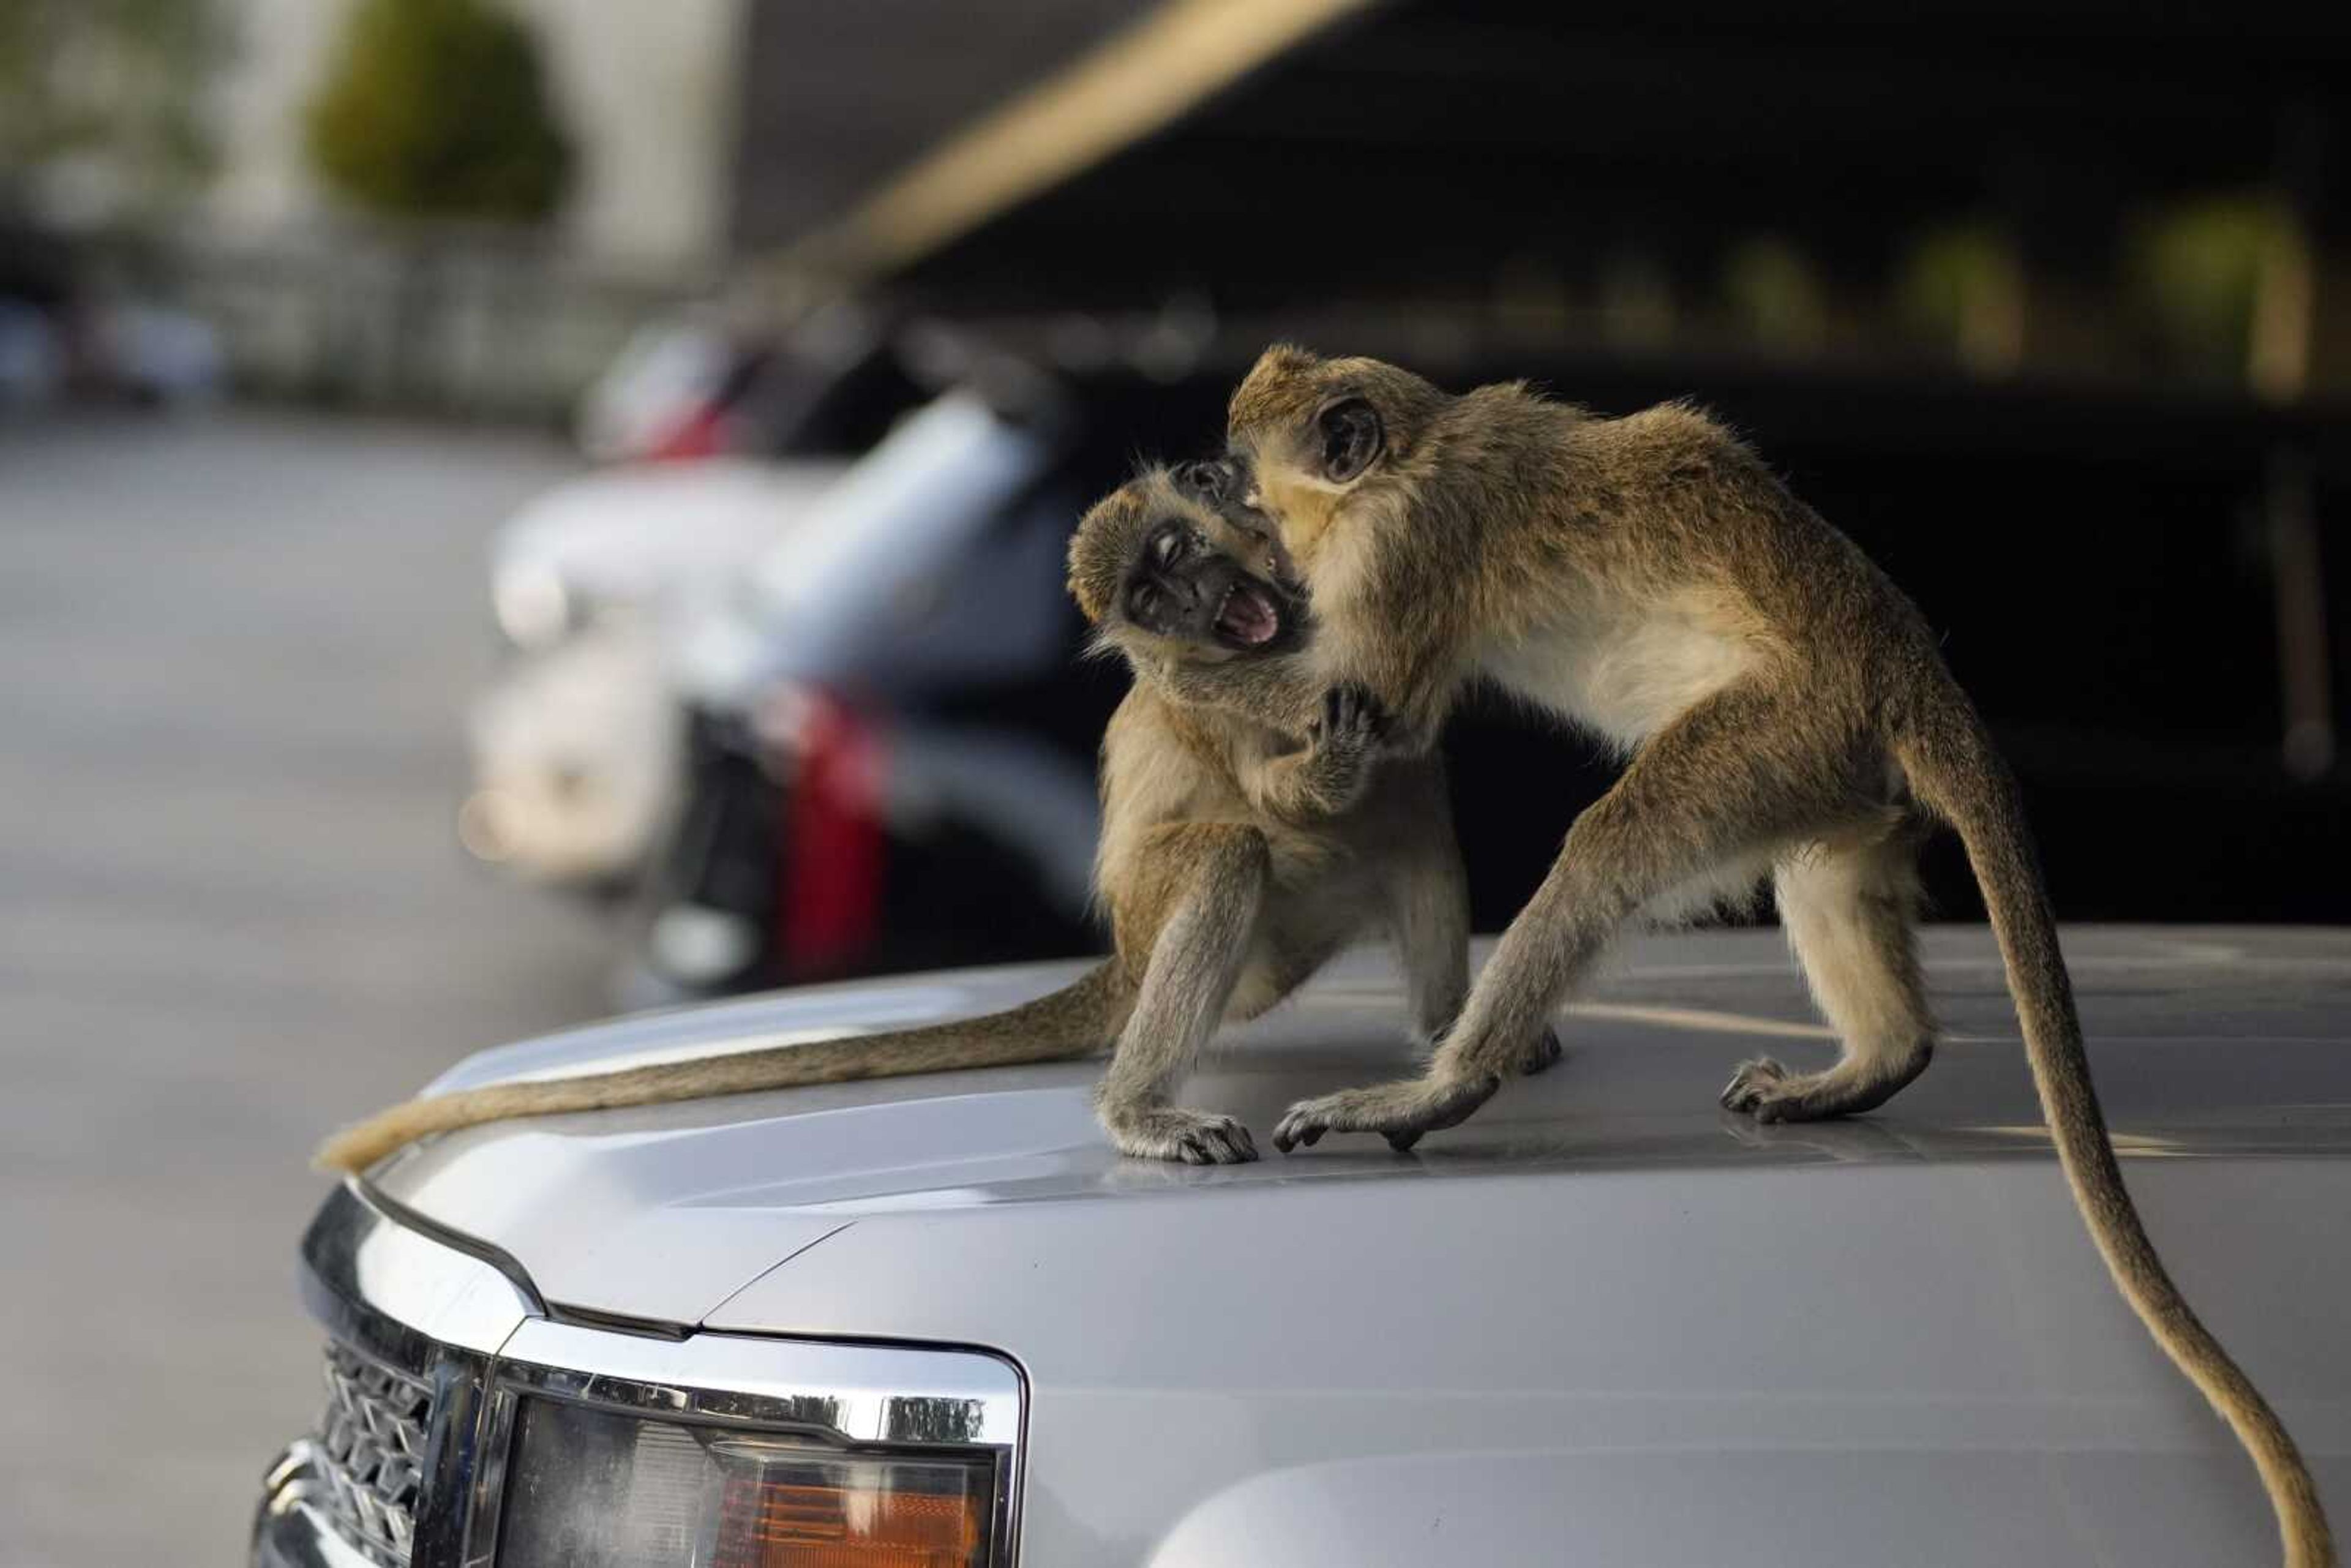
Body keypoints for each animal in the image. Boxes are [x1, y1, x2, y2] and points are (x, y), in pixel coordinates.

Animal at [322, 465, 1542, 1175]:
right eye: (1154, 601)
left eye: (1181, 556)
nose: (1200, 605)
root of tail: (1127, 957)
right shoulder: (1207, 688)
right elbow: (1279, 788)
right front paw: (1323, 756)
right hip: (1213, 931)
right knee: (1236, 853)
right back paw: (1142, 1107)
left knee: (1414, 803)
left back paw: (1449, 1038)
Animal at [1157, 345, 2332, 1568]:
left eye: (1236, 470)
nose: (1192, 472)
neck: (1409, 454)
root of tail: (1908, 665)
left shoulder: (1403, 550)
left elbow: (1365, 705)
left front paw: (1162, 659)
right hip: (1832, 767)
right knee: (1823, 882)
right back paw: (1876, 1061)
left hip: (1782, 728)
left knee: (1614, 845)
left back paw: (1444, 1089)